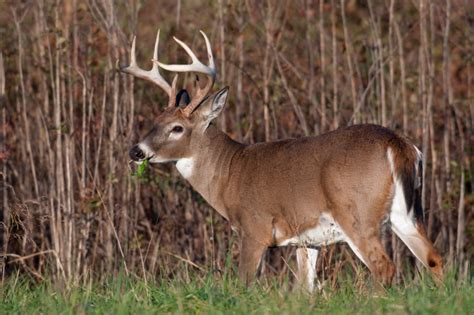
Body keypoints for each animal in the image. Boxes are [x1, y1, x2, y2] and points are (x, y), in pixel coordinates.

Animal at [120, 29, 442, 292]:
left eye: (177, 128)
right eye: (155, 121)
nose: (136, 151)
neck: (229, 173)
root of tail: (398, 144)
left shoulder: (255, 227)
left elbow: (244, 283)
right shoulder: (308, 239)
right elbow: (305, 290)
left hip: (357, 213)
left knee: (384, 267)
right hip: (407, 212)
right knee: (434, 259)